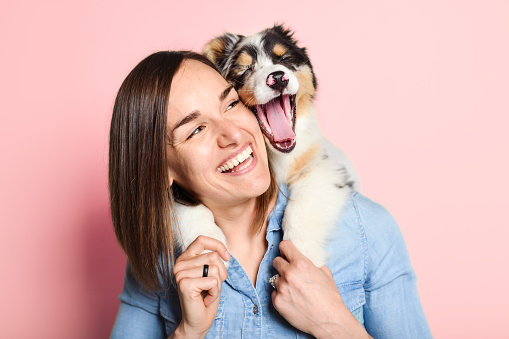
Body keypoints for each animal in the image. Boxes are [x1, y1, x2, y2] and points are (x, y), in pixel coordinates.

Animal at [173, 25, 360, 268]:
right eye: (245, 68)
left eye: (285, 59)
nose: (278, 78)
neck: (274, 156)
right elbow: (182, 206)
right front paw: (207, 247)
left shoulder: (325, 165)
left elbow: (302, 207)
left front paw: (304, 256)